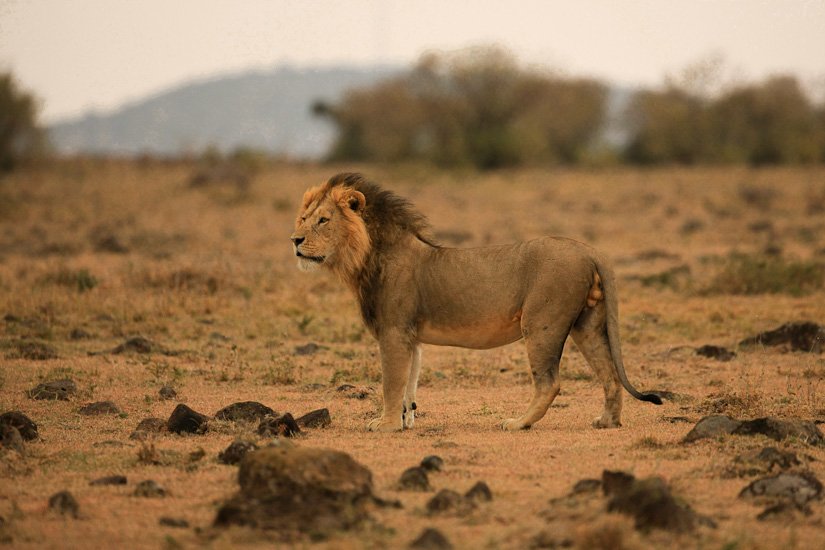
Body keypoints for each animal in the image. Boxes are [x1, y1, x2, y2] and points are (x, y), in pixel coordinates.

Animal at [290, 173, 662, 432]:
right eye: (303, 218)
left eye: (323, 220)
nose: (294, 240)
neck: (366, 256)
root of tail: (590, 250)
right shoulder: (411, 337)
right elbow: (410, 383)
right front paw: (405, 421)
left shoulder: (394, 332)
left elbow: (391, 382)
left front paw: (386, 425)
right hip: (587, 323)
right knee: (609, 373)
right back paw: (607, 421)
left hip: (542, 322)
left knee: (549, 382)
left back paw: (518, 423)